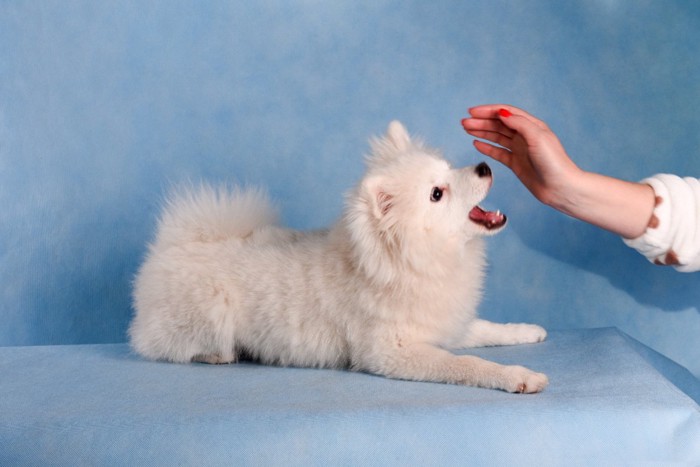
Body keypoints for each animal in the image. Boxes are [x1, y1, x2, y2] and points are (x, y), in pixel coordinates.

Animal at [130, 121, 548, 394]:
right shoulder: (393, 352)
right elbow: (465, 364)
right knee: (157, 344)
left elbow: (486, 329)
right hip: (209, 311)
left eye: (450, 170)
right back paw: (217, 354)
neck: (408, 261)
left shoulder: (443, 323)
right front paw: (517, 376)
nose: (484, 165)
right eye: (436, 194)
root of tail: (172, 244)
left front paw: (527, 330)